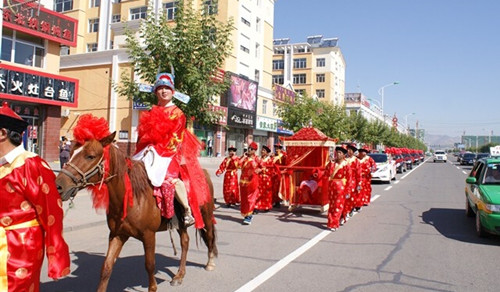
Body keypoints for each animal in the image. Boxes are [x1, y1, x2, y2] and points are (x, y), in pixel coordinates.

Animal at [56, 133, 217, 292]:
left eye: (90, 156)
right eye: (71, 153)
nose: (59, 186)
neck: (131, 198)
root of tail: (204, 173)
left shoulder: (149, 235)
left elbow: (150, 265)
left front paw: (153, 287)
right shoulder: (117, 234)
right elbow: (107, 267)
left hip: (206, 215)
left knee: (209, 236)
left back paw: (209, 263)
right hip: (180, 223)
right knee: (185, 242)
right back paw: (179, 275)